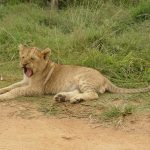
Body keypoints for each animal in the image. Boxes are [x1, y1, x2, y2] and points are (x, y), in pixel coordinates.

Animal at [0, 44, 149, 103]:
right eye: (23, 57)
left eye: (32, 59)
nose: (24, 64)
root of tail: (104, 77)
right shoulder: (24, 81)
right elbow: (12, 86)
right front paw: (2, 90)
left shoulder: (36, 89)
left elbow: (17, 90)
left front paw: (3, 96)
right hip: (78, 83)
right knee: (78, 92)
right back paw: (62, 97)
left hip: (82, 79)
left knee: (93, 94)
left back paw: (74, 100)